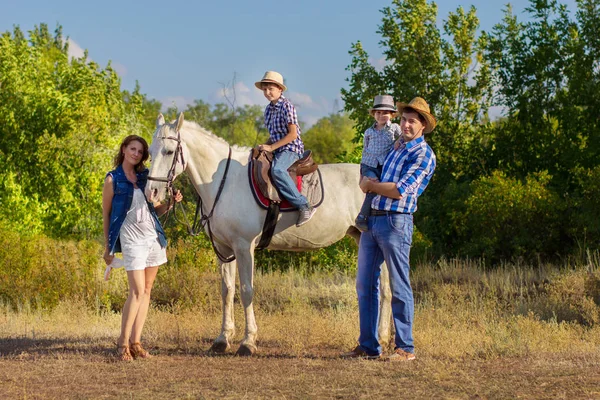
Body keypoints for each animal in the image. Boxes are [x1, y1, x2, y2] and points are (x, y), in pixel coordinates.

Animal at [144, 113, 390, 356]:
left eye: (168, 151)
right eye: (150, 152)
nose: (151, 193)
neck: (224, 182)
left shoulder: (244, 247)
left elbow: (246, 290)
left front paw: (248, 342)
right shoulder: (224, 249)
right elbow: (226, 291)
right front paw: (223, 339)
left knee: (386, 290)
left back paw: (383, 338)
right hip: (362, 237)